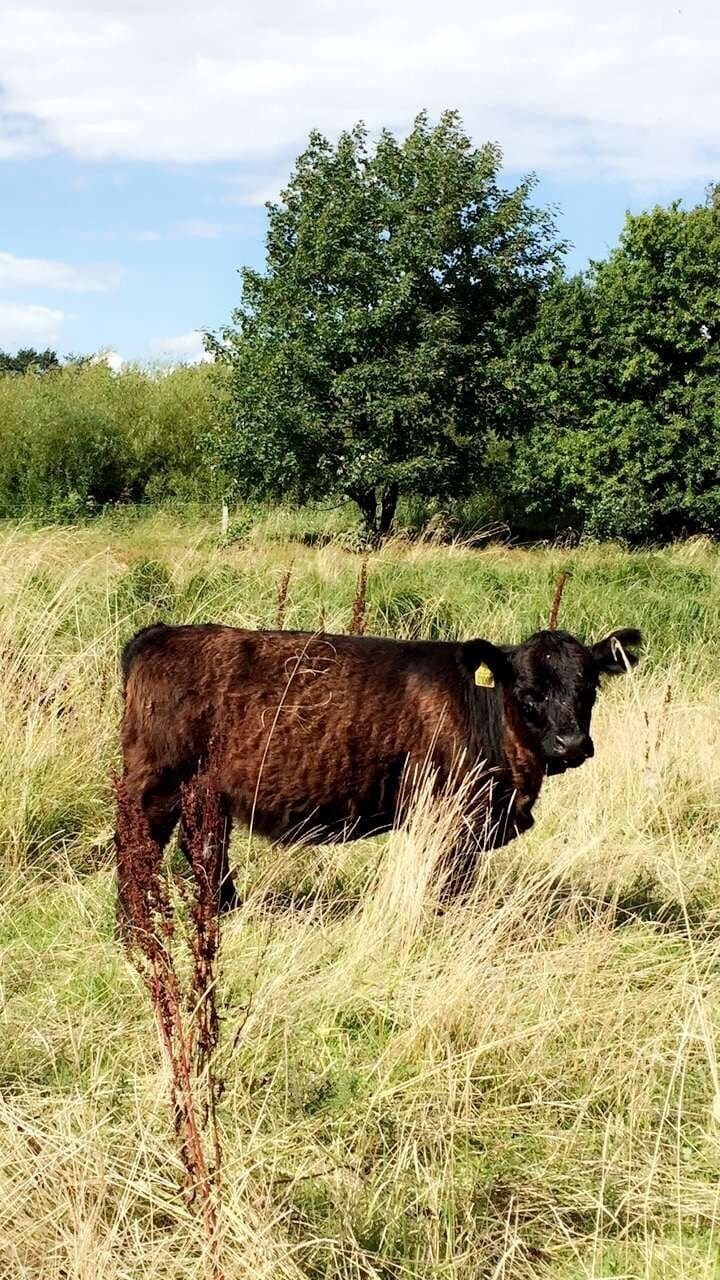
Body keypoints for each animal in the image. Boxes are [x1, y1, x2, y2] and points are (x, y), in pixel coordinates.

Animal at [118, 622, 641, 910]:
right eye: (528, 692)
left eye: (589, 687)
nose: (571, 743)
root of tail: (159, 634)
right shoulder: (452, 818)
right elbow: (450, 886)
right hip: (155, 784)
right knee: (139, 851)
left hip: (206, 794)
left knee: (204, 850)